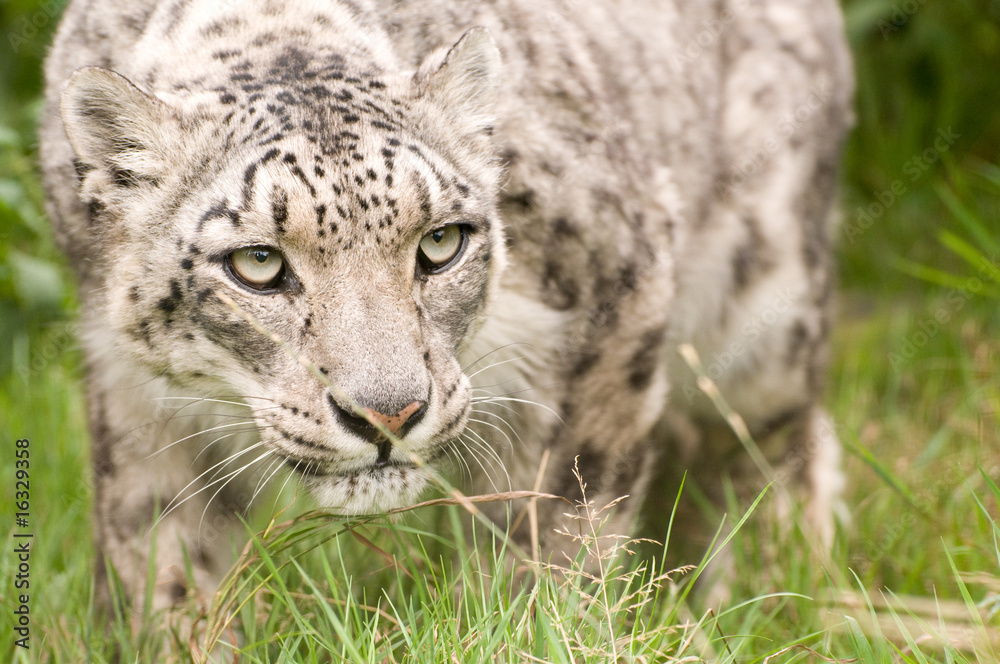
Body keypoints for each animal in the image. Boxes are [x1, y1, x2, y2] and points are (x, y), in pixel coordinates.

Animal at [40, 0, 853, 623]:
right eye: (258, 263)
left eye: (441, 242)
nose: (389, 415)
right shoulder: (136, 398)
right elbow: (163, 557)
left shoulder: (619, 296)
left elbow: (560, 520)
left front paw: (529, 622)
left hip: (761, 317)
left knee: (771, 448)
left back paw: (774, 596)